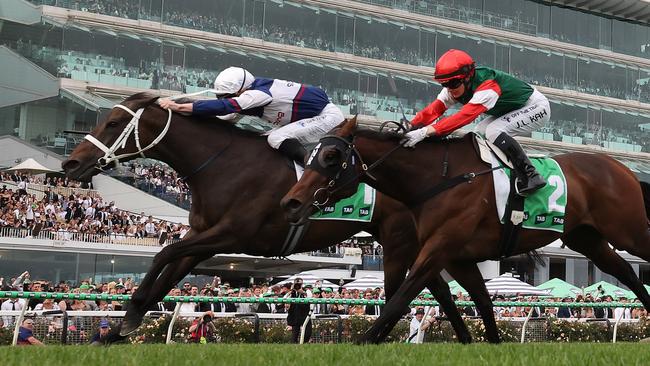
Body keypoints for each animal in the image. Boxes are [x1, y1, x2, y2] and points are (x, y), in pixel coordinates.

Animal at [62, 92, 486, 344]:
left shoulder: (232, 234)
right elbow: (168, 273)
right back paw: (466, 339)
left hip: (399, 241)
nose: (71, 164)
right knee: (438, 288)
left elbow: (163, 254)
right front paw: (116, 330)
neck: (221, 164)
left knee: (415, 287)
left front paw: (127, 319)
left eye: (113, 123)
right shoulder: (205, 236)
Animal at [280, 117, 648, 344]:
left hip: (628, 231)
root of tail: (624, 169)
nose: (291, 202)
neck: (438, 179)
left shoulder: (437, 248)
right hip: (586, 238)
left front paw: (365, 341)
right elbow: (480, 302)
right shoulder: (457, 258)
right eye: (310, 155)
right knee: (626, 271)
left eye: (330, 156)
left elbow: (400, 298)